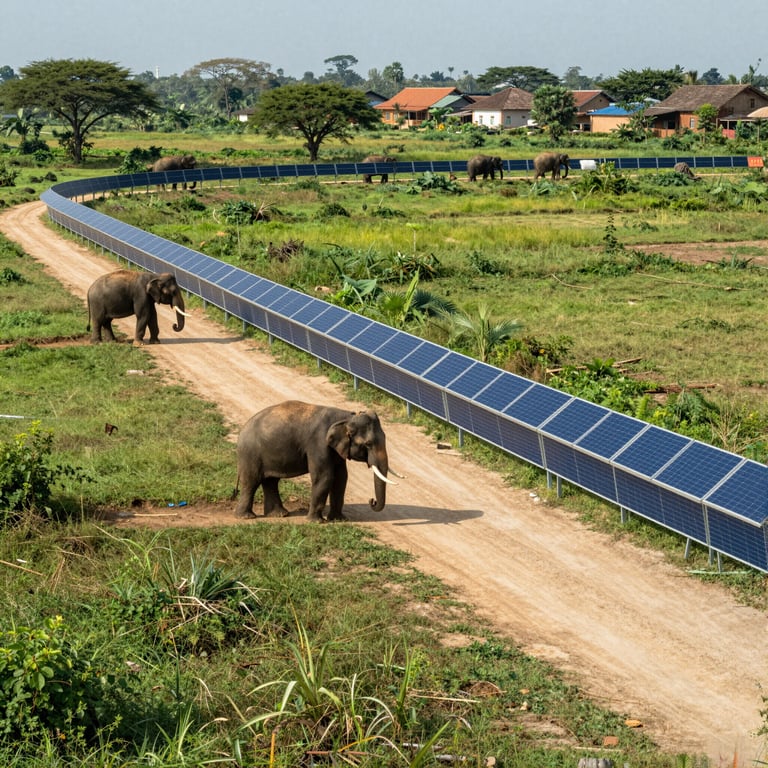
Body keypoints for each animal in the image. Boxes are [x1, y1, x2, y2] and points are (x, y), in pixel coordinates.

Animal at [234, 401, 392, 522]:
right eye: (368, 444)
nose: (372, 501)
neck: (346, 417)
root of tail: (242, 430)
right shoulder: (319, 444)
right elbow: (325, 477)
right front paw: (316, 522)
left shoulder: (336, 449)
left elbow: (341, 478)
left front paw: (339, 520)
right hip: (250, 454)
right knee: (251, 481)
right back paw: (246, 517)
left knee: (270, 481)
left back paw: (279, 514)